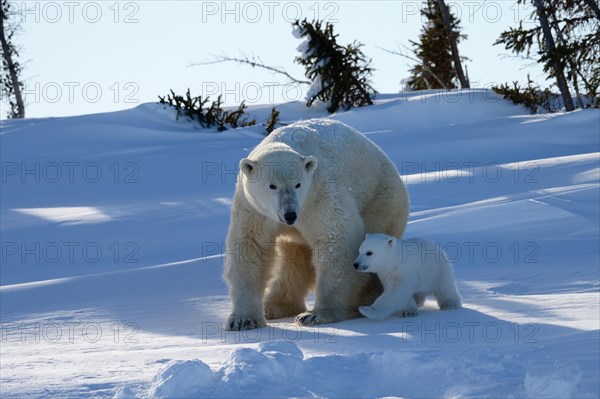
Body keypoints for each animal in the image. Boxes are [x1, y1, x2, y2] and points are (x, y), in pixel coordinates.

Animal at [224, 119, 408, 332]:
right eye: (272, 186)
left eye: (298, 184)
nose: (290, 215)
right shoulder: (253, 208)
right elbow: (250, 246)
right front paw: (243, 320)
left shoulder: (318, 196)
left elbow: (336, 240)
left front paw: (315, 315)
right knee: (294, 259)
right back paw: (275, 306)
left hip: (381, 201)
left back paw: (361, 302)